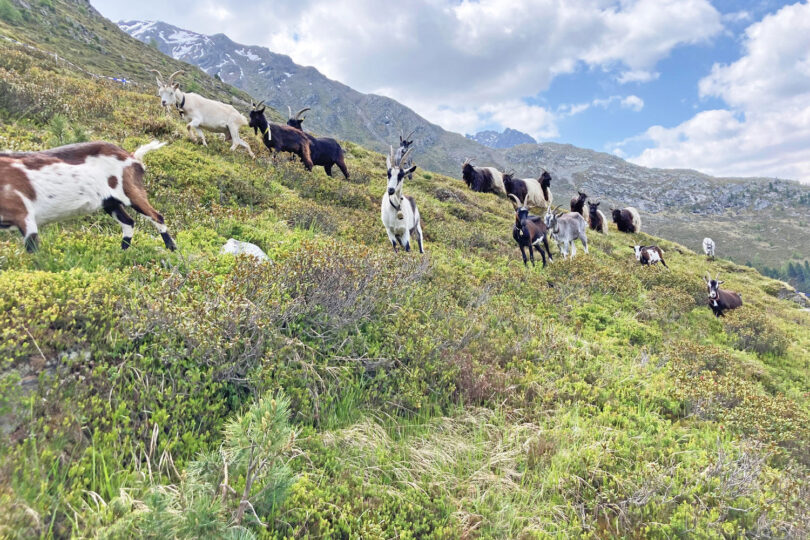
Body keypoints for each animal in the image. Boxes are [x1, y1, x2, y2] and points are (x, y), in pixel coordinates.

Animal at [0, 141, 175, 252]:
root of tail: (132, 157)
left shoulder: (25, 215)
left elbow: (33, 251)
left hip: (130, 192)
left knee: (157, 216)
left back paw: (172, 250)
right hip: (110, 202)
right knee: (128, 222)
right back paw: (122, 252)